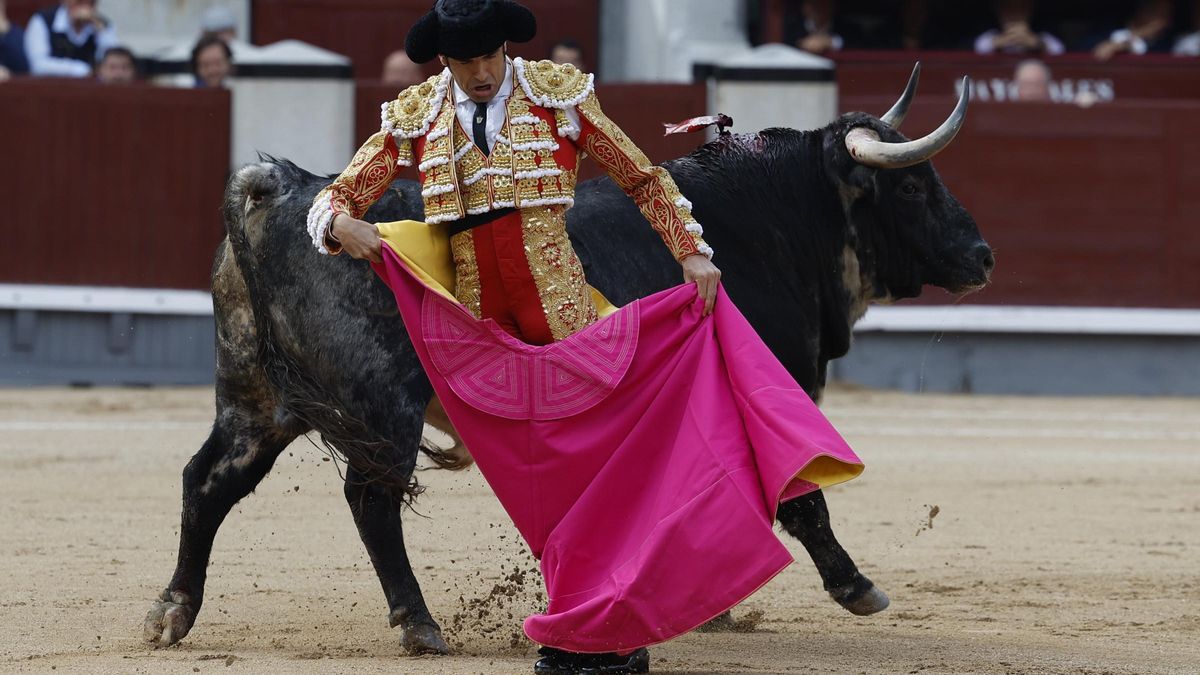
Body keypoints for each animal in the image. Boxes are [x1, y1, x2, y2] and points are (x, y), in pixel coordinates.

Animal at [145, 105, 988, 653]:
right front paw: (855, 586)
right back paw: (419, 623)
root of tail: (283, 190)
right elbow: (800, 500)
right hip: (384, 408)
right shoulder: (766, 389)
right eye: (913, 186)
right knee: (370, 500)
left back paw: (171, 612)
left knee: (206, 481)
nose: (982, 255)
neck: (774, 222)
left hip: (255, 403)